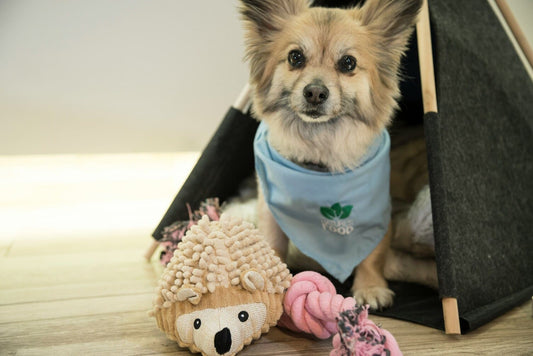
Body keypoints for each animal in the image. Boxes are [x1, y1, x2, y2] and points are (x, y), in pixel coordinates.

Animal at [239, 0, 426, 308]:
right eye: (295, 58)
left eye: (348, 63)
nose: (315, 92)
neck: (321, 155)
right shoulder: (269, 211)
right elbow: (273, 245)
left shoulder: (378, 208)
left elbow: (374, 253)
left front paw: (371, 287)